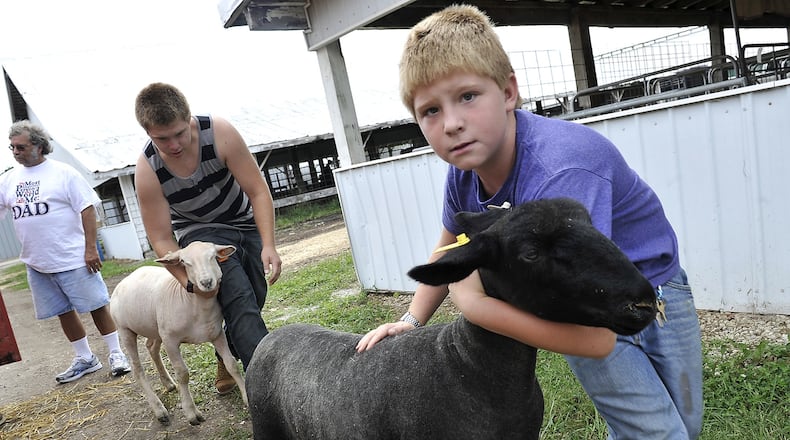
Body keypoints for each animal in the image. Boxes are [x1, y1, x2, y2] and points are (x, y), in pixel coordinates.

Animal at [109, 241, 248, 426]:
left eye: (212, 256)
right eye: (185, 263)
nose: (206, 282)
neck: (193, 304)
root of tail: (127, 278)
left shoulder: (217, 334)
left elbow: (231, 364)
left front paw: (247, 397)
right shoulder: (171, 340)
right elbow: (183, 374)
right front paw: (191, 413)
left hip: (156, 328)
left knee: (151, 347)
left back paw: (168, 384)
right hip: (125, 330)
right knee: (138, 370)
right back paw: (160, 411)